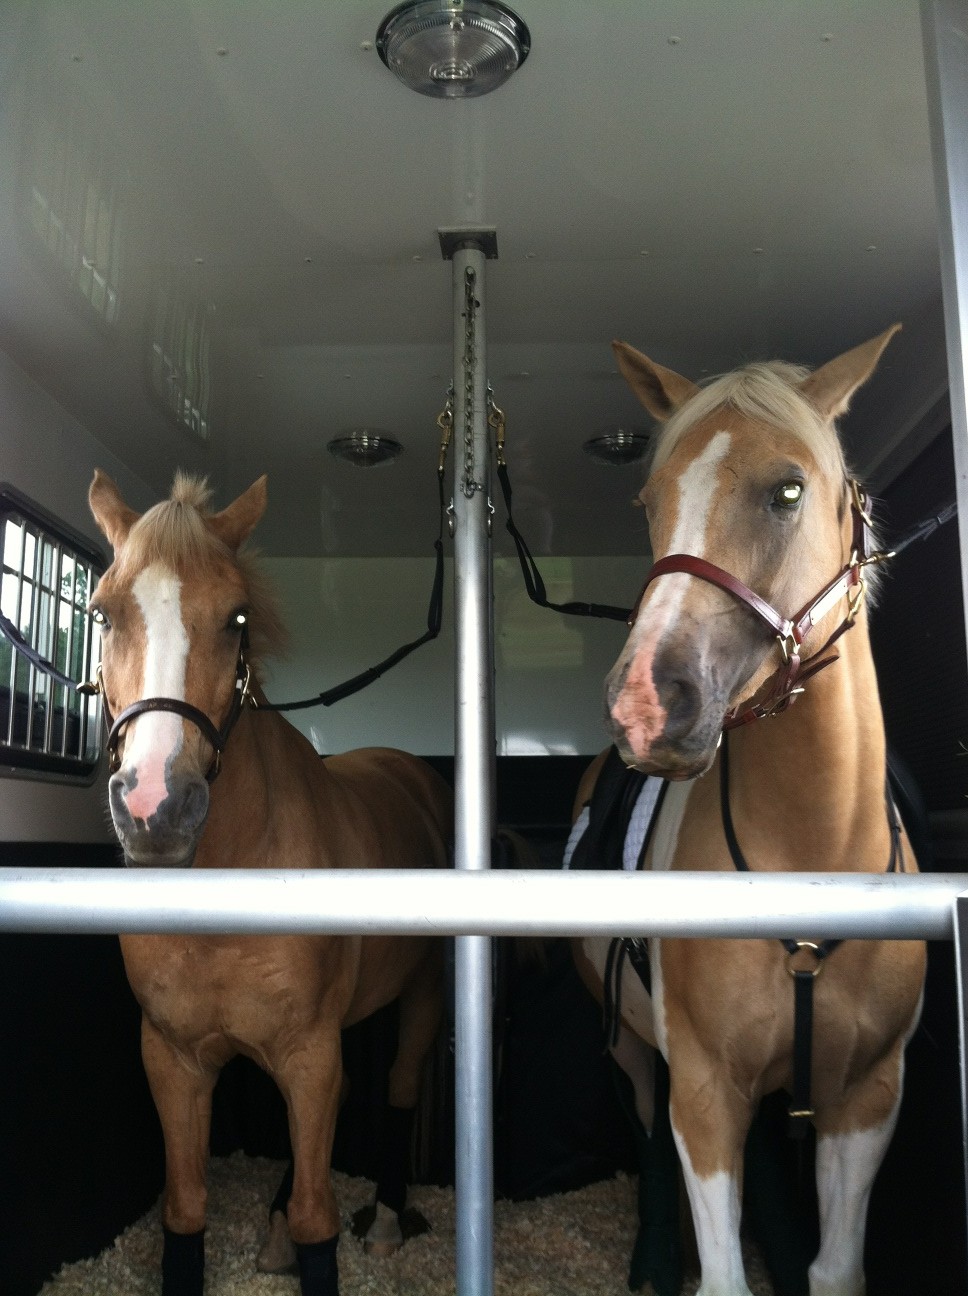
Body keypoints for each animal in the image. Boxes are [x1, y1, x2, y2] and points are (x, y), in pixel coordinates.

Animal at [87, 470, 452, 1296]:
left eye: (236, 618)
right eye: (101, 612)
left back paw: (386, 1215)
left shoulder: (309, 1055)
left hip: (421, 995)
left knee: (401, 1085)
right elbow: (185, 1209)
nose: (155, 805)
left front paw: (308, 1231)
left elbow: (320, 1215)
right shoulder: (173, 1059)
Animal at [570, 325, 927, 1296]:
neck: (814, 853)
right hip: (632, 1049)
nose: (644, 705)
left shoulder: (868, 1098)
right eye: (650, 500)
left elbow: (837, 1269)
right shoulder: (703, 1090)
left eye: (789, 490)